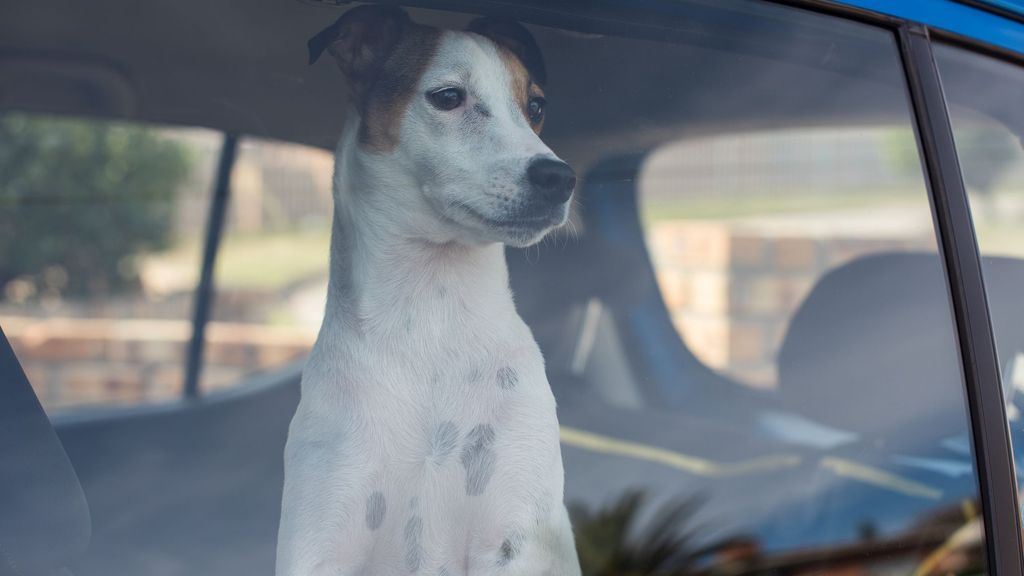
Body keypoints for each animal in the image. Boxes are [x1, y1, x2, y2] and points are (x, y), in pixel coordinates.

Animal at [278, 5, 585, 573]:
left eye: (535, 106)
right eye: (447, 96)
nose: (559, 178)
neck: (433, 321)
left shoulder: (514, 535)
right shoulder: (321, 533)